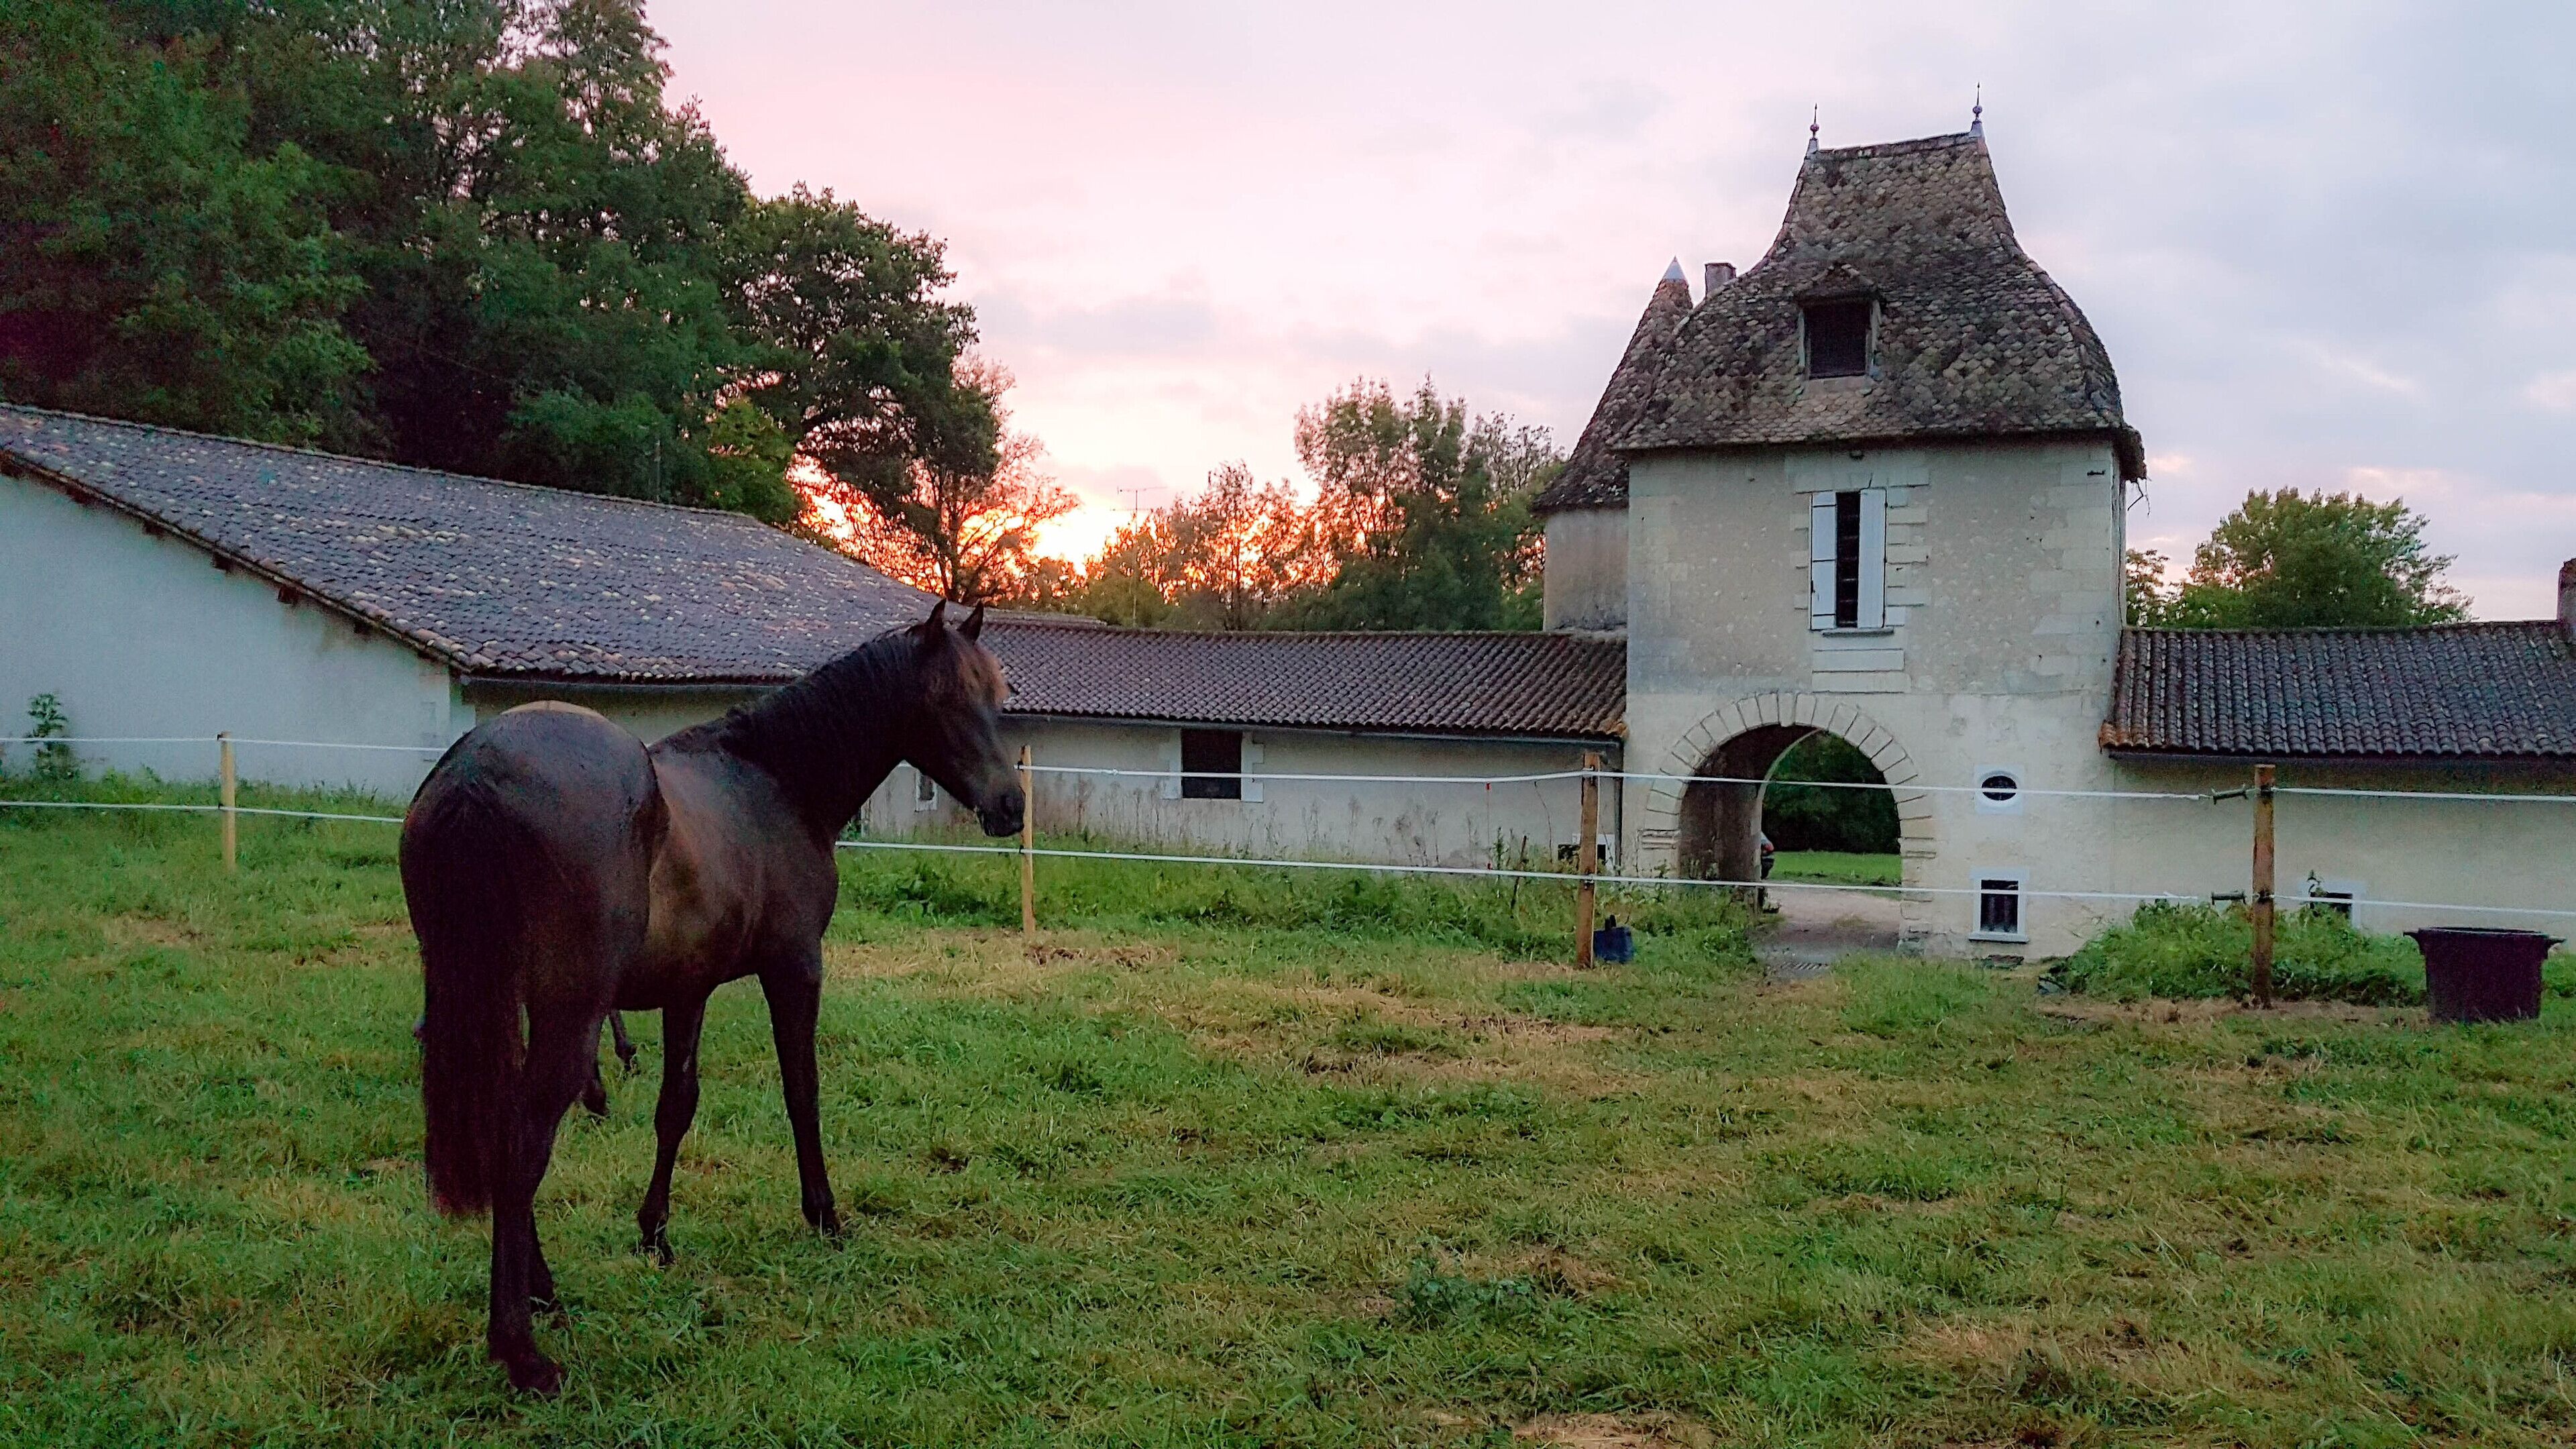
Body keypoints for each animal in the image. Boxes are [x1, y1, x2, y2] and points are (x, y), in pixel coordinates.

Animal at [401, 601, 1023, 1395]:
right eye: (947, 699)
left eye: (996, 698)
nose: (1010, 805)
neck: (775, 781)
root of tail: (476, 771)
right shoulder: (795, 969)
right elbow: (802, 1092)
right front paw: (825, 1216)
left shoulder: (686, 991)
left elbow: (677, 1108)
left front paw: (655, 1236)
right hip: (567, 1017)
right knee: (524, 1145)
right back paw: (521, 1349)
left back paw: (542, 1292)